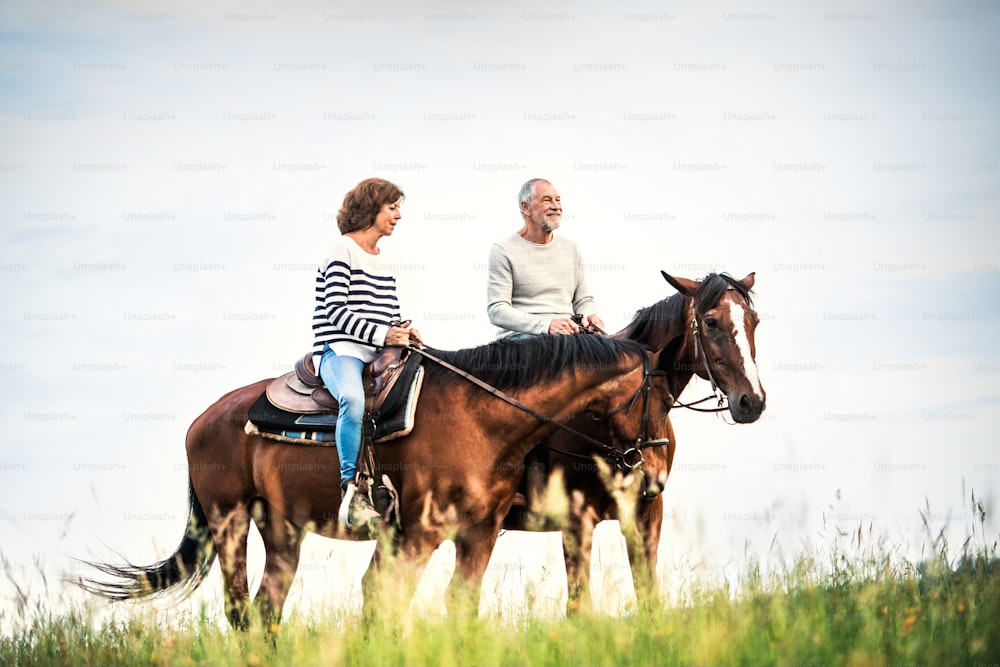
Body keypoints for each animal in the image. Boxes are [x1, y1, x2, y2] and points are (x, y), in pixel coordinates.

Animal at [76, 336, 672, 628]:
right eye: (660, 399)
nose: (655, 477)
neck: (482, 417)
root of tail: (201, 421)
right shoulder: (417, 535)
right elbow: (385, 603)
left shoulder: (478, 535)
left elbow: (456, 606)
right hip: (229, 521)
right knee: (240, 610)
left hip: (282, 529)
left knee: (266, 610)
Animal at [500, 272, 764, 604]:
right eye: (711, 322)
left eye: (754, 320)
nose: (751, 401)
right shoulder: (576, 520)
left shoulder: (647, 512)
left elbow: (648, 592)